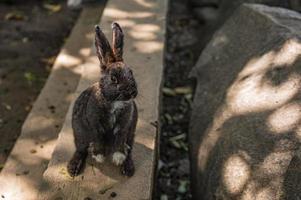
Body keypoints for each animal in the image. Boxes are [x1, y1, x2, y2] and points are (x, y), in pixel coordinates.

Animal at [67, 22, 137, 177]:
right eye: (113, 78)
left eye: (131, 73)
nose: (132, 93)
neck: (114, 102)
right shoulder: (95, 124)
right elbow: (98, 137)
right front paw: (99, 156)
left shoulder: (124, 125)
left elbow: (120, 140)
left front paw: (118, 158)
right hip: (79, 133)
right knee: (80, 150)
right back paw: (73, 169)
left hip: (132, 133)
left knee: (129, 148)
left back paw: (128, 168)